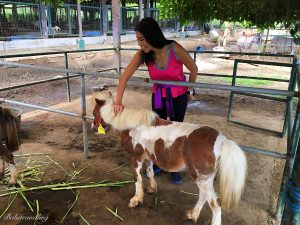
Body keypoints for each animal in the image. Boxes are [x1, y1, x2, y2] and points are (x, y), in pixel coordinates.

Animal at [92, 92, 247, 225]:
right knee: (203, 196)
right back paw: (192, 214)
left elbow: (137, 179)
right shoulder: (148, 157)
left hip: (201, 178)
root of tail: (221, 140)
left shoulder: (136, 158)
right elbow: (150, 173)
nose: (93, 128)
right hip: (204, 178)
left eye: (94, 113)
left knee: (214, 205)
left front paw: (136, 200)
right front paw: (151, 189)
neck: (132, 126)